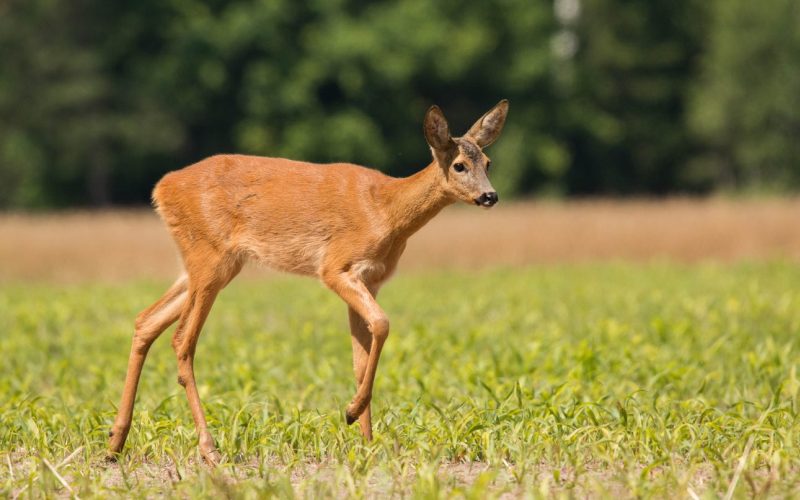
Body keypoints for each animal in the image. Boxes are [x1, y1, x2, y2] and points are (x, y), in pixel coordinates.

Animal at [106, 98, 510, 464]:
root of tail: (161, 189)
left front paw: (367, 443)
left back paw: (115, 442)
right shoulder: (334, 266)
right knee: (181, 340)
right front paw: (350, 413)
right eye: (459, 165)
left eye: (488, 163)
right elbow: (382, 323)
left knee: (146, 320)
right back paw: (208, 449)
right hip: (209, 259)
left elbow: (361, 356)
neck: (387, 210)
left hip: (209, 264)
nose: (490, 195)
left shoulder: (372, 280)